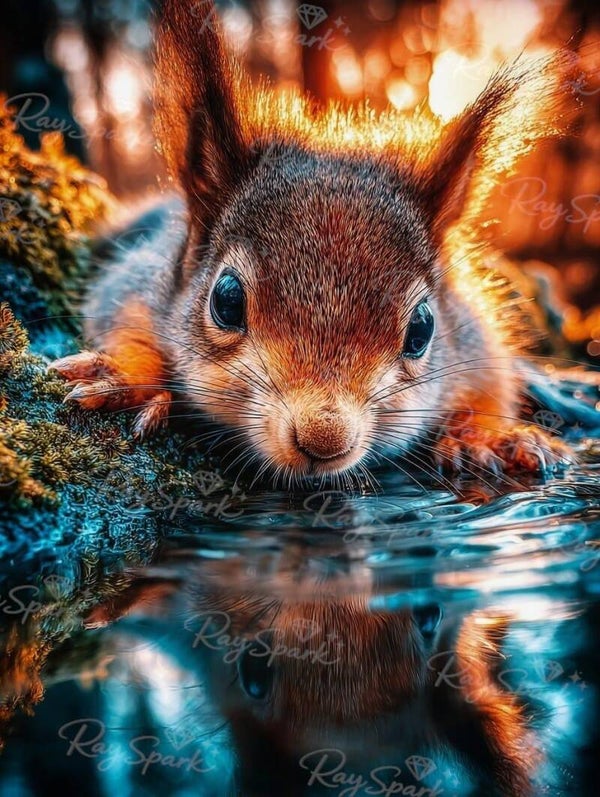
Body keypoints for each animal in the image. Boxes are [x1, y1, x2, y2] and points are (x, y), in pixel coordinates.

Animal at [49, 0, 573, 485]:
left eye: (423, 329)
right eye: (226, 300)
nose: (325, 439)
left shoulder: (471, 335)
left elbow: (493, 380)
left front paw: (486, 435)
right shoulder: (138, 278)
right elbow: (122, 316)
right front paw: (124, 376)